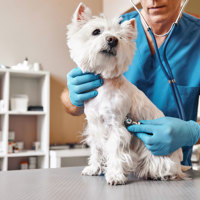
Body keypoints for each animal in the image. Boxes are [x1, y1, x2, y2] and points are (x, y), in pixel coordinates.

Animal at [66, 2, 188, 185]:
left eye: (121, 38)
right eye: (96, 31)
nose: (112, 39)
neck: (104, 84)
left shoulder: (117, 126)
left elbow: (116, 153)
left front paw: (115, 175)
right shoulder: (94, 125)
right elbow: (97, 149)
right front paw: (94, 168)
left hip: (161, 157)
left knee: (168, 168)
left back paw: (163, 174)